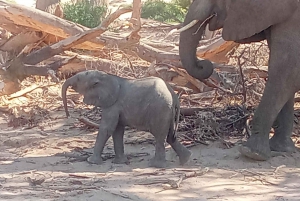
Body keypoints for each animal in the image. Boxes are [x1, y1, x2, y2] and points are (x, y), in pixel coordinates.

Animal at [61, 70, 191, 167]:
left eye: (78, 79)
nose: (68, 115)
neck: (106, 76)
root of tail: (174, 95)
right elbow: (117, 131)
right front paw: (120, 162)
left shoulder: (113, 105)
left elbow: (107, 129)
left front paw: (91, 162)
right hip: (168, 112)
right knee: (169, 136)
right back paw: (186, 159)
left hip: (160, 110)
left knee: (160, 136)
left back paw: (155, 165)